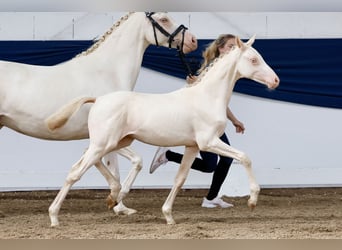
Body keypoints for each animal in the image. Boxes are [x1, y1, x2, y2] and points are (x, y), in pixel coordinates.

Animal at [0, 12, 198, 214]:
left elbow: (110, 166)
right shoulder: (112, 136)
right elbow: (133, 162)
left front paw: (119, 205)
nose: (193, 41)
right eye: (164, 18)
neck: (107, 72)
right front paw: (117, 202)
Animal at [46, 35, 280, 227]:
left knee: (85, 161)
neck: (206, 97)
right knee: (75, 173)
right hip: (104, 143)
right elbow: (245, 157)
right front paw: (252, 200)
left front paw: (168, 216)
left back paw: (114, 195)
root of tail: (98, 99)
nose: (275, 81)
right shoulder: (209, 142)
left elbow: (179, 179)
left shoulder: (192, 147)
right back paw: (55, 217)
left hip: (115, 142)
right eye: (253, 60)